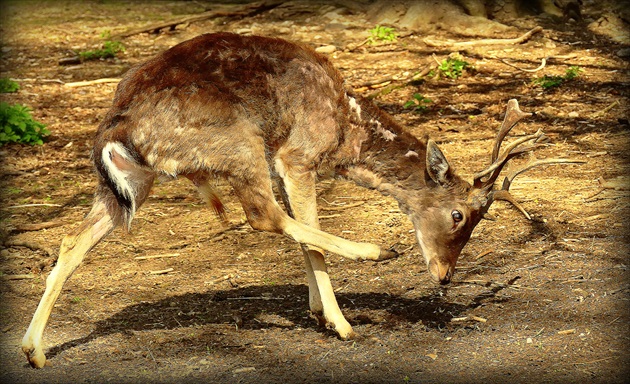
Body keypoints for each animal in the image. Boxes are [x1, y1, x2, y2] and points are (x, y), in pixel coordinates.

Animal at [21, 31, 584, 368]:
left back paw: (34, 350)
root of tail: (117, 124)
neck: (345, 133)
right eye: (458, 213)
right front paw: (335, 320)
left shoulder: (286, 162)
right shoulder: (297, 153)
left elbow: (303, 235)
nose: (445, 276)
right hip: (237, 142)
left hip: (131, 183)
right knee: (262, 216)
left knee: (71, 241)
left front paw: (317, 311)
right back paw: (374, 255)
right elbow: (306, 232)